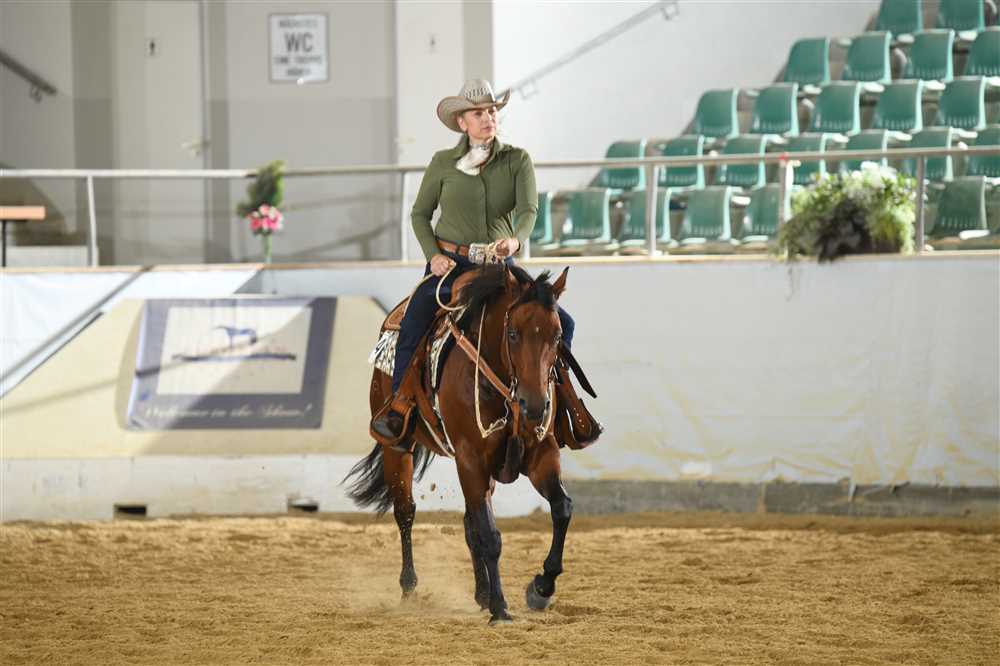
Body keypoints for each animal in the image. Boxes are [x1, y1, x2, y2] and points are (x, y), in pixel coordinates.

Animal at [345, 263, 573, 625]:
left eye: (557, 336)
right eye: (513, 334)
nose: (535, 406)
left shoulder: (541, 452)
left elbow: (561, 509)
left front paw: (540, 587)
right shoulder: (470, 458)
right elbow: (490, 536)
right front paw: (501, 608)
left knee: (470, 523)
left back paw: (481, 593)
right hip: (398, 447)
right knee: (405, 512)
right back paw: (410, 588)